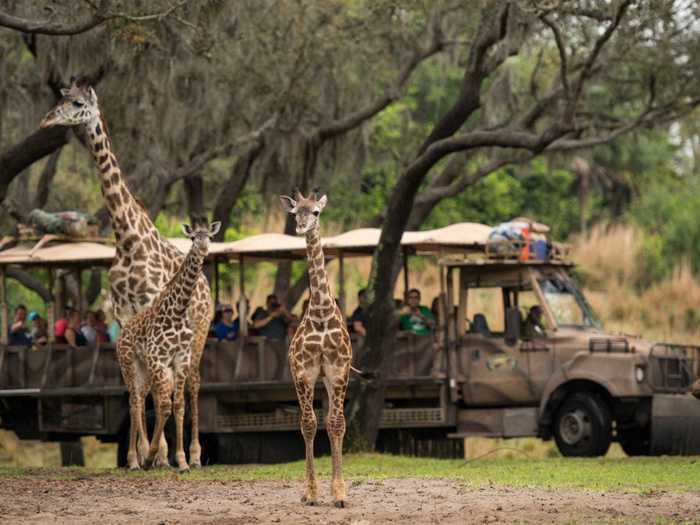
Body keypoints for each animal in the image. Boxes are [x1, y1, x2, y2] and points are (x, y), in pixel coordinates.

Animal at [39, 79, 211, 466]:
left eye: (78, 104)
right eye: (60, 97)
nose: (47, 120)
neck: (128, 238)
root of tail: (207, 286)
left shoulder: (151, 304)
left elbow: (162, 389)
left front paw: (162, 454)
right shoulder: (124, 312)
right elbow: (138, 387)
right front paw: (143, 453)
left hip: (201, 330)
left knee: (193, 382)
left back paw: (194, 454)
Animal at [117, 218, 220, 470]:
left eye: (209, 237)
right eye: (193, 237)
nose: (203, 249)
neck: (178, 311)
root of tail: (122, 331)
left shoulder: (180, 360)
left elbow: (178, 405)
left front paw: (182, 461)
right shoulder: (159, 360)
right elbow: (164, 404)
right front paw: (153, 455)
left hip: (144, 369)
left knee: (139, 400)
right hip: (129, 364)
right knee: (134, 401)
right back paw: (135, 460)